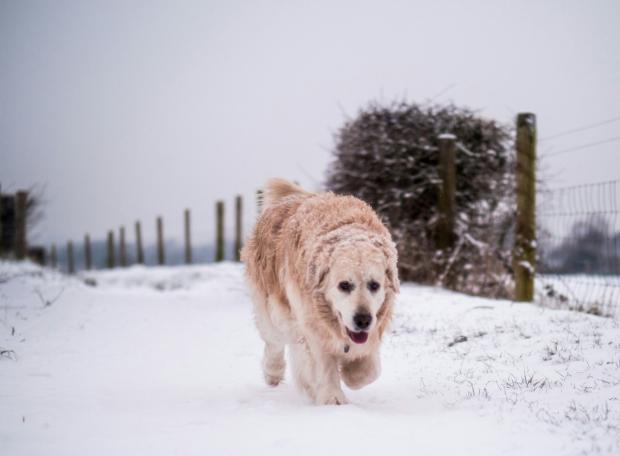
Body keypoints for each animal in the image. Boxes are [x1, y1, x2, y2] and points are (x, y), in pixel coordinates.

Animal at [240, 180, 400, 404]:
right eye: (344, 285)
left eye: (374, 285)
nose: (362, 320)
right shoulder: (311, 324)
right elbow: (324, 364)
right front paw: (333, 398)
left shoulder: (375, 325)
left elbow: (369, 371)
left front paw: (351, 372)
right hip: (271, 308)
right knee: (274, 342)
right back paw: (274, 372)